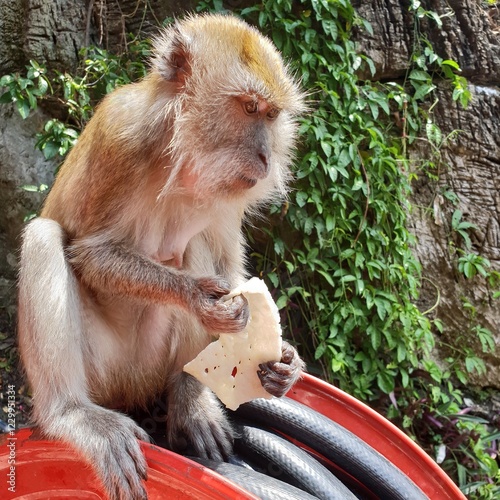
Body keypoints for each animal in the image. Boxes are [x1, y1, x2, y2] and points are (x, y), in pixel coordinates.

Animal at [16, 11, 304, 500]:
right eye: (249, 108)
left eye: (271, 115)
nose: (266, 157)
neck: (183, 156)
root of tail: (131, 390)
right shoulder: (122, 137)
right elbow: (90, 252)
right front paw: (197, 298)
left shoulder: (229, 195)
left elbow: (228, 264)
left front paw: (283, 361)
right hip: (103, 367)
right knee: (42, 236)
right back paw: (72, 413)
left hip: (150, 363)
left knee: (196, 243)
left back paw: (188, 394)